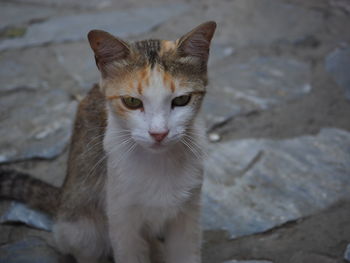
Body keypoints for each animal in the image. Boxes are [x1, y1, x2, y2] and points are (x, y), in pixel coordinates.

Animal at [0, 21, 216, 263]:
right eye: (132, 102)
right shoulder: (122, 219)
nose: (159, 133)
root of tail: (61, 197)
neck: (159, 164)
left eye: (181, 100)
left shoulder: (188, 214)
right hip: (82, 230)